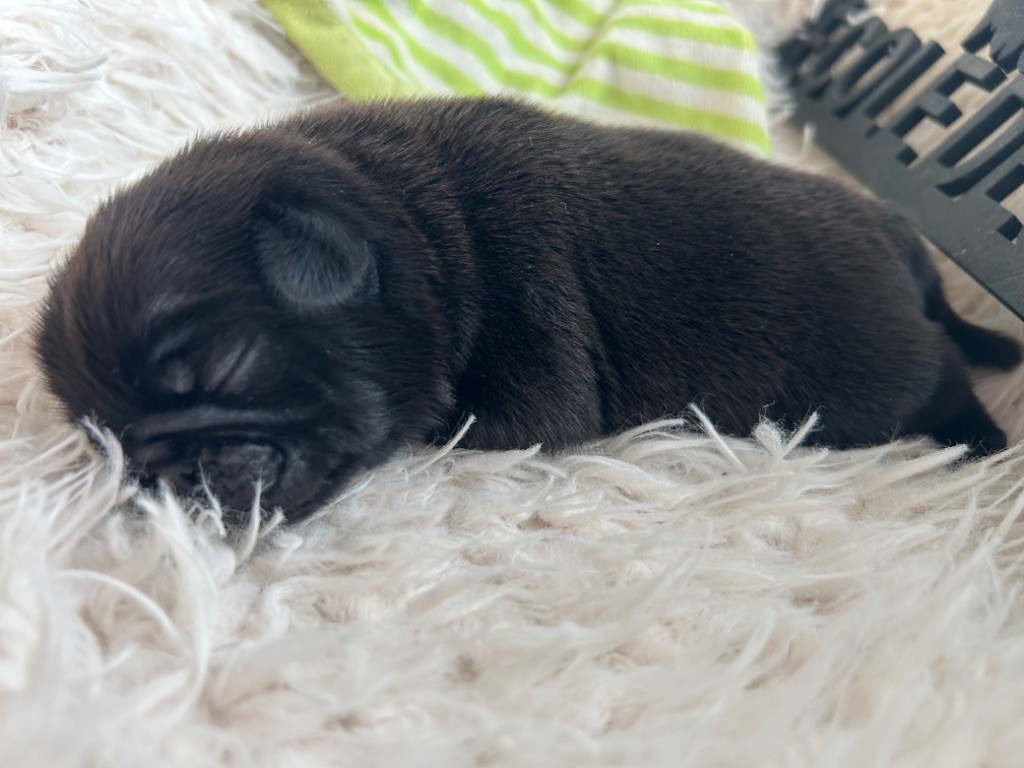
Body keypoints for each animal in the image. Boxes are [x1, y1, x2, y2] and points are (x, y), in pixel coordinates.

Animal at [36, 96, 1022, 523]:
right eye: (113, 446)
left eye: (229, 368)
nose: (174, 478)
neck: (420, 227)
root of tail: (896, 230)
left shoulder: (539, 361)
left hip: (867, 372)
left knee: (939, 368)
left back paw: (980, 436)